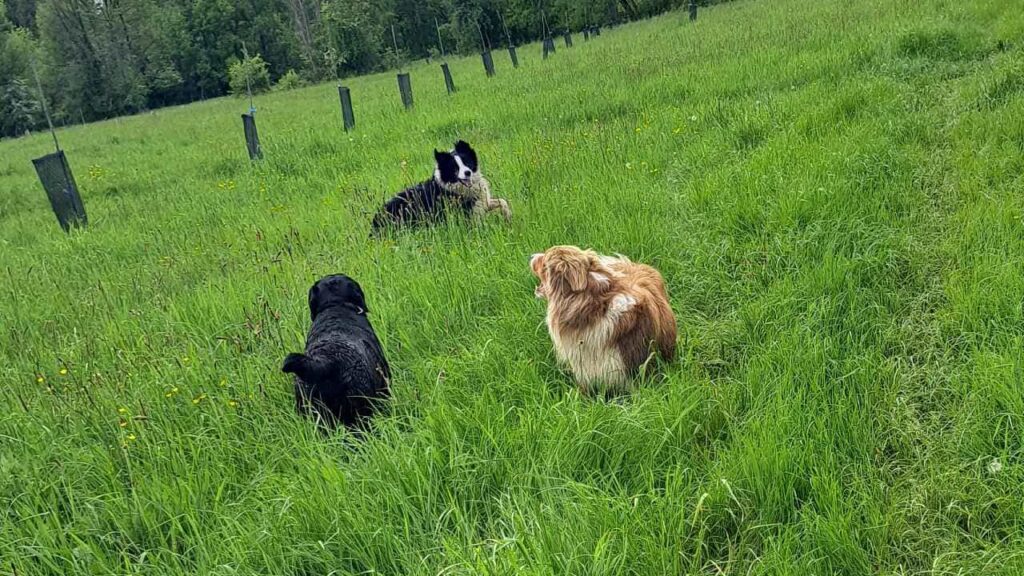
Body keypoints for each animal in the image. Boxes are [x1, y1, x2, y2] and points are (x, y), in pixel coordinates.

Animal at [370, 140, 509, 231]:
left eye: (467, 162)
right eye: (455, 168)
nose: (468, 173)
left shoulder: (482, 202)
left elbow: (502, 201)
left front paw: (508, 217)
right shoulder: (467, 213)